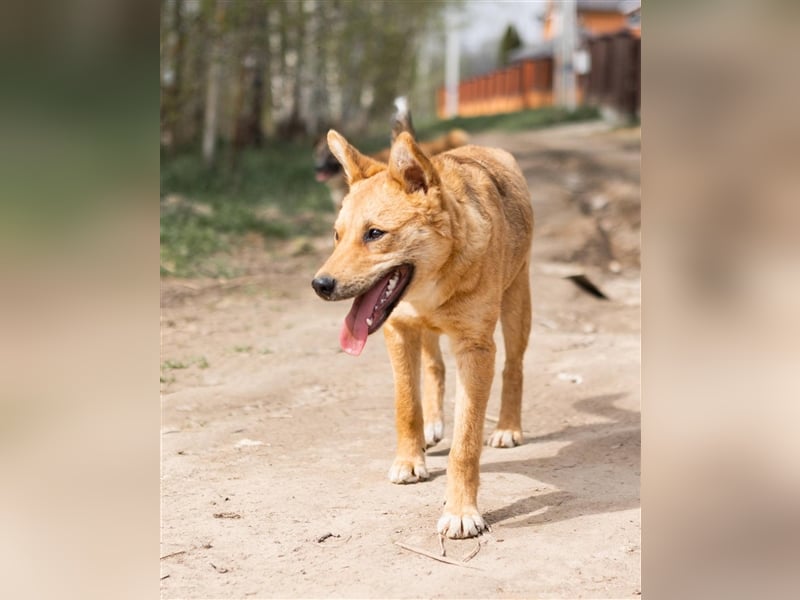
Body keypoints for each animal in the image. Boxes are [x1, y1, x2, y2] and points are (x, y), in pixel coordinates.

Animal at [310, 129, 532, 536]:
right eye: (336, 235)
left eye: (375, 234)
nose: (320, 285)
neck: (432, 287)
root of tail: (478, 147)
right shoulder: (399, 331)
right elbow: (406, 406)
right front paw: (410, 460)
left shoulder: (476, 350)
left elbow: (466, 443)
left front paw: (461, 511)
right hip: (423, 333)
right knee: (434, 368)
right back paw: (432, 425)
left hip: (517, 307)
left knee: (514, 368)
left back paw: (508, 427)